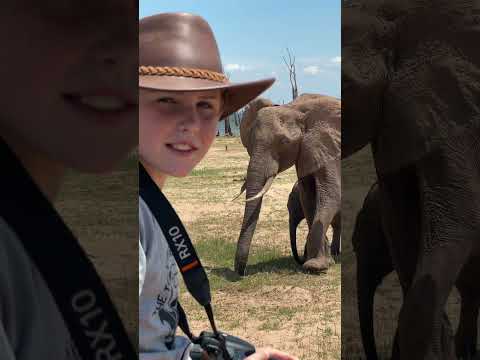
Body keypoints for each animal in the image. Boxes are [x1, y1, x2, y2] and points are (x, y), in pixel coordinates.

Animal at [233, 93, 342, 276]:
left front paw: (315, 267)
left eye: (284, 142)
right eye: (250, 142)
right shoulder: (306, 152)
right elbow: (308, 197)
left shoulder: (329, 148)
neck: (294, 108)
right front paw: (323, 262)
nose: (241, 272)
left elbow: (331, 194)